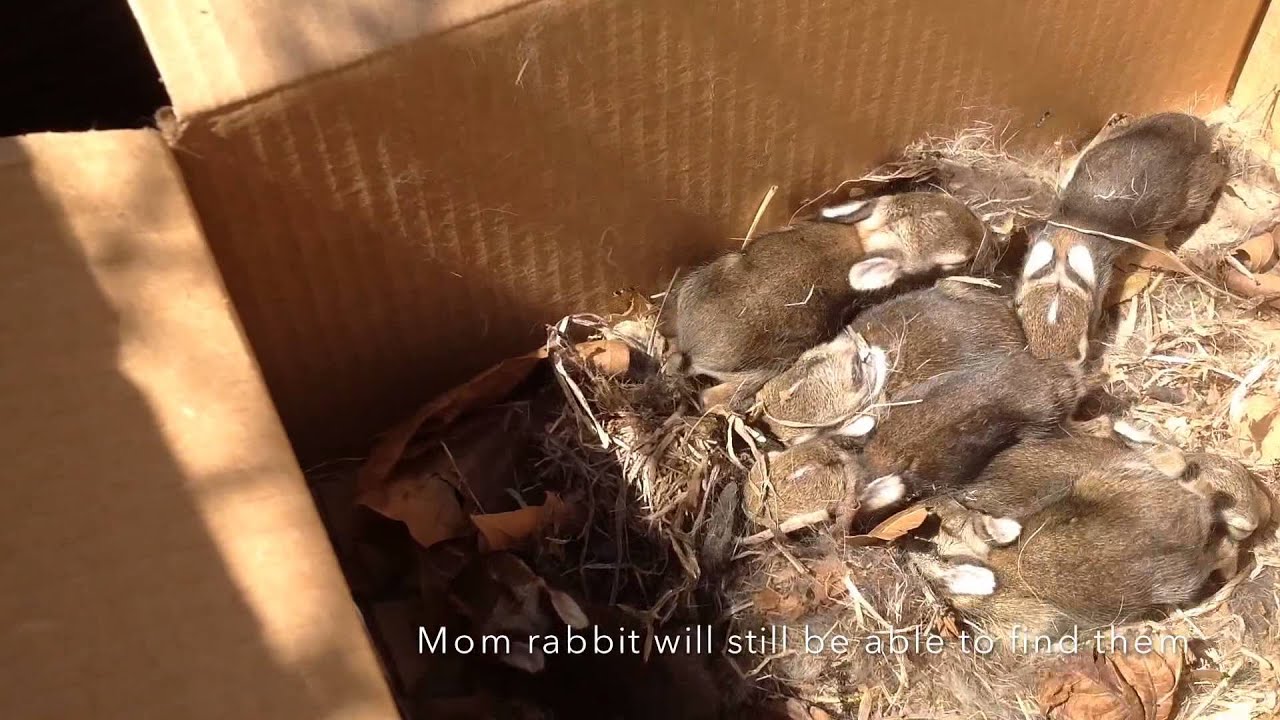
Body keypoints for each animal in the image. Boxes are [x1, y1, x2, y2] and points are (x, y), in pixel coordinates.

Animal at [663, 191, 986, 408]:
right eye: (957, 262)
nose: (984, 231)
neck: (863, 241)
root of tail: (693, 349)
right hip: (766, 369)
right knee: (711, 398)